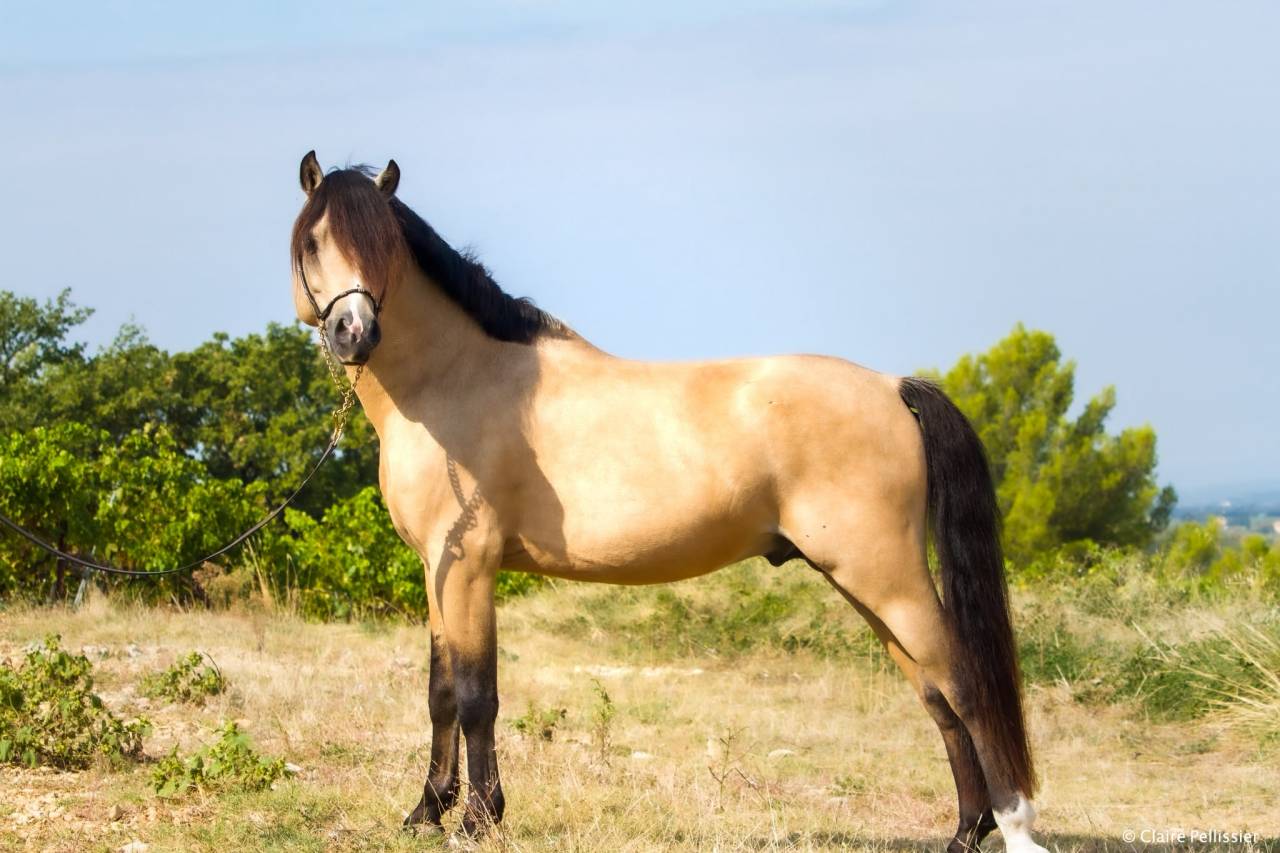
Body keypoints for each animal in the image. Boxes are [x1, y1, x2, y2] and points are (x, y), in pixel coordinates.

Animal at [289, 151, 1049, 853]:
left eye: (384, 249)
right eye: (314, 242)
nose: (355, 333)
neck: (457, 382)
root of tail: (894, 386)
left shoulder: (470, 567)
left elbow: (477, 696)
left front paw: (478, 819)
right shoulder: (437, 571)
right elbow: (441, 691)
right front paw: (426, 811)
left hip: (886, 578)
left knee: (966, 686)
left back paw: (1015, 828)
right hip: (868, 585)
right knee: (937, 695)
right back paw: (965, 831)